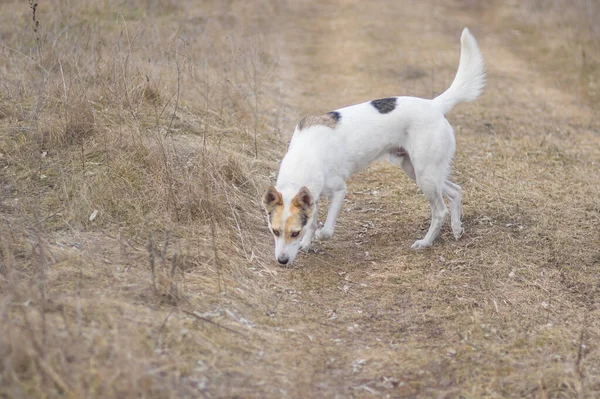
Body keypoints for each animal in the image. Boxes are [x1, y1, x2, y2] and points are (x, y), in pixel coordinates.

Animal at [262, 28, 482, 266]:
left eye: (294, 232)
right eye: (275, 231)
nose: (282, 261)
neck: (305, 155)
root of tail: (434, 105)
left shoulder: (339, 191)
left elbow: (326, 230)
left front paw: (316, 237)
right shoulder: (313, 196)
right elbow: (311, 222)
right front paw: (307, 243)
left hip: (425, 176)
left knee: (440, 211)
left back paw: (426, 242)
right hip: (419, 172)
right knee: (456, 191)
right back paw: (457, 229)